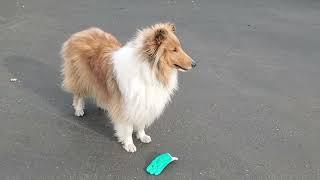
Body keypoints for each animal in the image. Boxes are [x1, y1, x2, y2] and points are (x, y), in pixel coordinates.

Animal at [60, 22, 195, 152]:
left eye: (179, 47)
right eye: (174, 50)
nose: (194, 64)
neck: (149, 70)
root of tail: (81, 33)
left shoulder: (142, 103)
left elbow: (141, 123)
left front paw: (142, 136)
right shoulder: (126, 106)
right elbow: (128, 128)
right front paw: (129, 144)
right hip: (81, 78)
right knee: (78, 95)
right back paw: (79, 110)